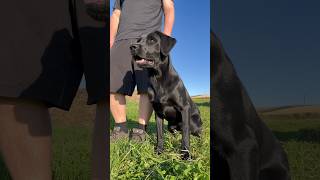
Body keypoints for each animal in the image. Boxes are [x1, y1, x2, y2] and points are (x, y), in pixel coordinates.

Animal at [129, 31, 201, 160]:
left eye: (152, 40)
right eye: (138, 40)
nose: (132, 47)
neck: (157, 78)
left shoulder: (184, 108)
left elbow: (185, 134)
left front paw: (186, 155)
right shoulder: (158, 113)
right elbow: (160, 135)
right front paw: (159, 151)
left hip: (194, 122)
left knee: (195, 134)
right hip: (170, 126)